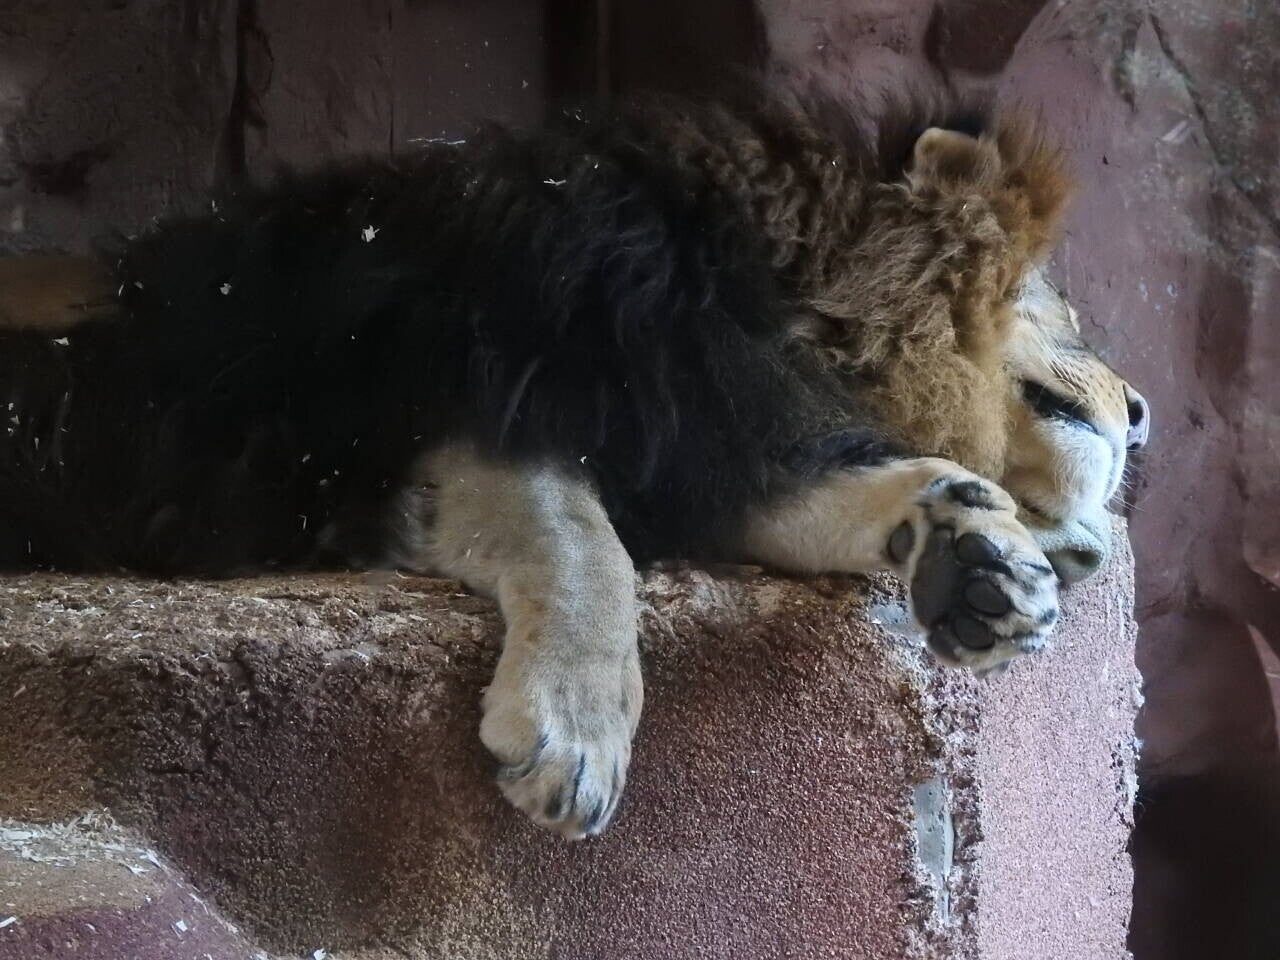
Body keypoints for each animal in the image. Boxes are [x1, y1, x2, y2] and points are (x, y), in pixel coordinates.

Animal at [0, 82, 1148, 840]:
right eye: (1067, 312)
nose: (1141, 413)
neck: (785, 317)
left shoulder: (711, 437)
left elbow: (860, 492)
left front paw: (981, 560)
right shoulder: (459, 403)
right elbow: (582, 547)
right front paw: (572, 735)